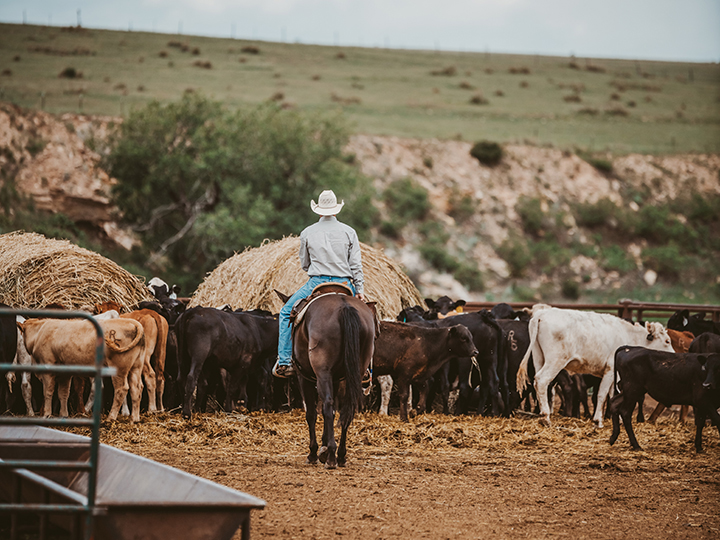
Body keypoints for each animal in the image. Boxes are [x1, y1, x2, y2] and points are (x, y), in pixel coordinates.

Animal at [292, 292, 376, 468]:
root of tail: (345, 306)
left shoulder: (304, 376)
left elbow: (312, 413)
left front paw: (314, 452)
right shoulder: (336, 379)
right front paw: (323, 449)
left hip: (322, 372)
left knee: (328, 404)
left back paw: (331, 456)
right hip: (356, 371)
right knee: (347, 408)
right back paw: (341, 455)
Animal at [516, 308, 672, 426]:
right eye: (667, 341)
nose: (673, 355)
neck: (629, 336)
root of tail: (541, 315)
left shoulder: (615, 375)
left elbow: (613, 395)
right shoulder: (610, 370)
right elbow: (602, 395)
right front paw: (598, 420)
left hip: (539, 358)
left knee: (540, 384)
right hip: (555, 361)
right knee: (542, 380)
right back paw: (545, 417)